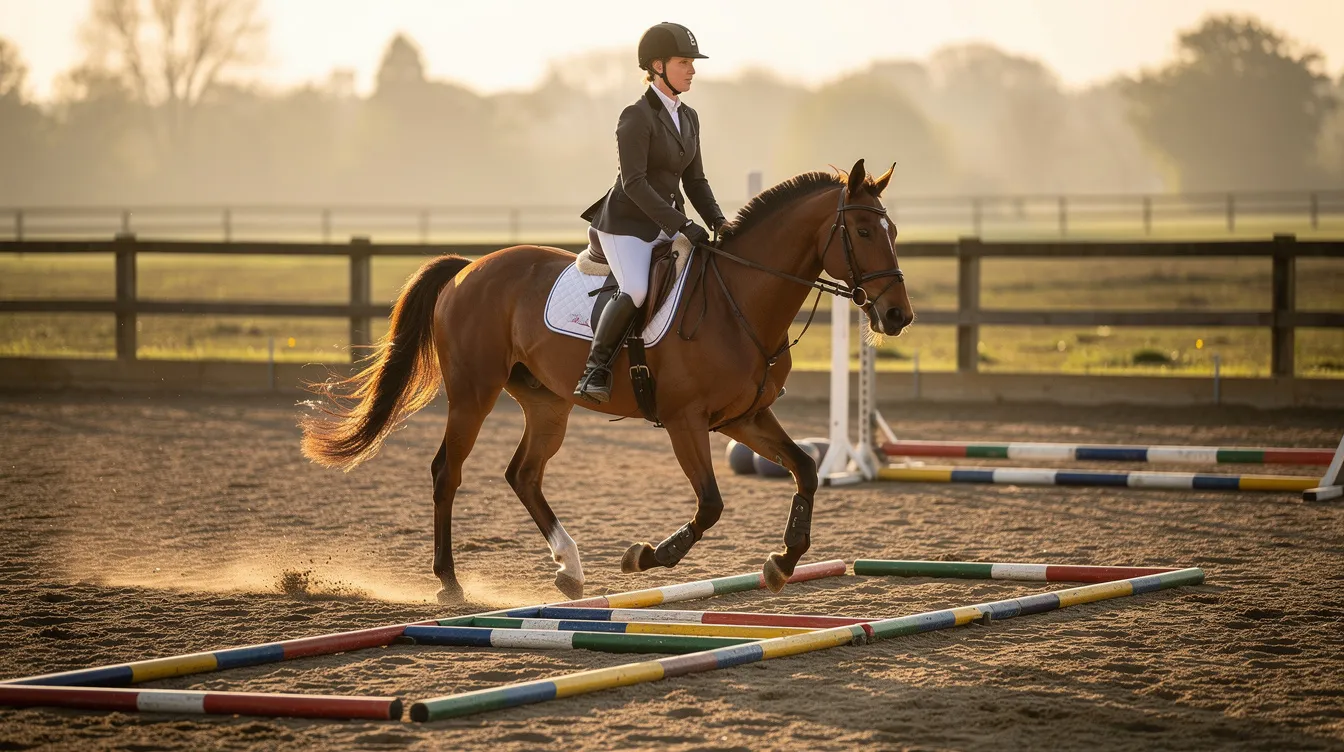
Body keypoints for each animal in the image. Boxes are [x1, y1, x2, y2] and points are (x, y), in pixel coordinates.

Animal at [300, 158, 914, 603]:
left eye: (893, 230)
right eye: (862, 229)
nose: (897, 316)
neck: (739, 300)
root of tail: (469, 268)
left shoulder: (744, 417)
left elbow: (806, 469)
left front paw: (781, 564)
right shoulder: (686, 422)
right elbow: (711, 504)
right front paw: (644, 556)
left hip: (548, 403)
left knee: (523, 474)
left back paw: (570, 570)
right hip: (473, 394)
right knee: (447, 472)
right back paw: (450, 581)